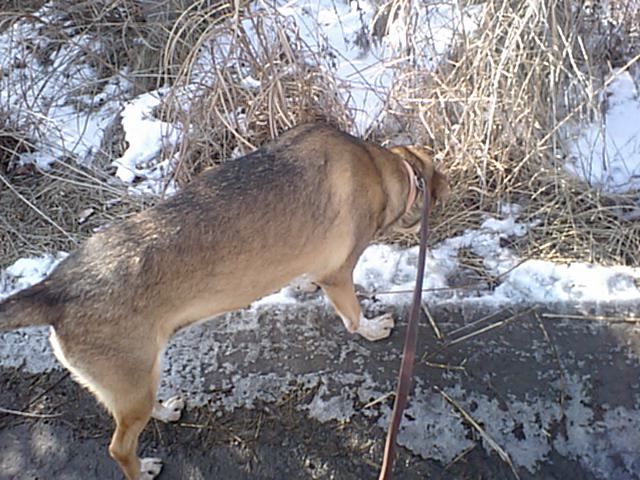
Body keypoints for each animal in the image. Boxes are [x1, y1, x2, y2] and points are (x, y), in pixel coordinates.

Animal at [0, 123, 449, 479]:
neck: (380, 167)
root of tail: (55, 288)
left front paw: (306, 286)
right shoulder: (340, 276)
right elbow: (354, 318)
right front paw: (372, 329)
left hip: (137, 383)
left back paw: (164, 412)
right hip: (131, 382)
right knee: (118, 448)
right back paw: (141, 470)